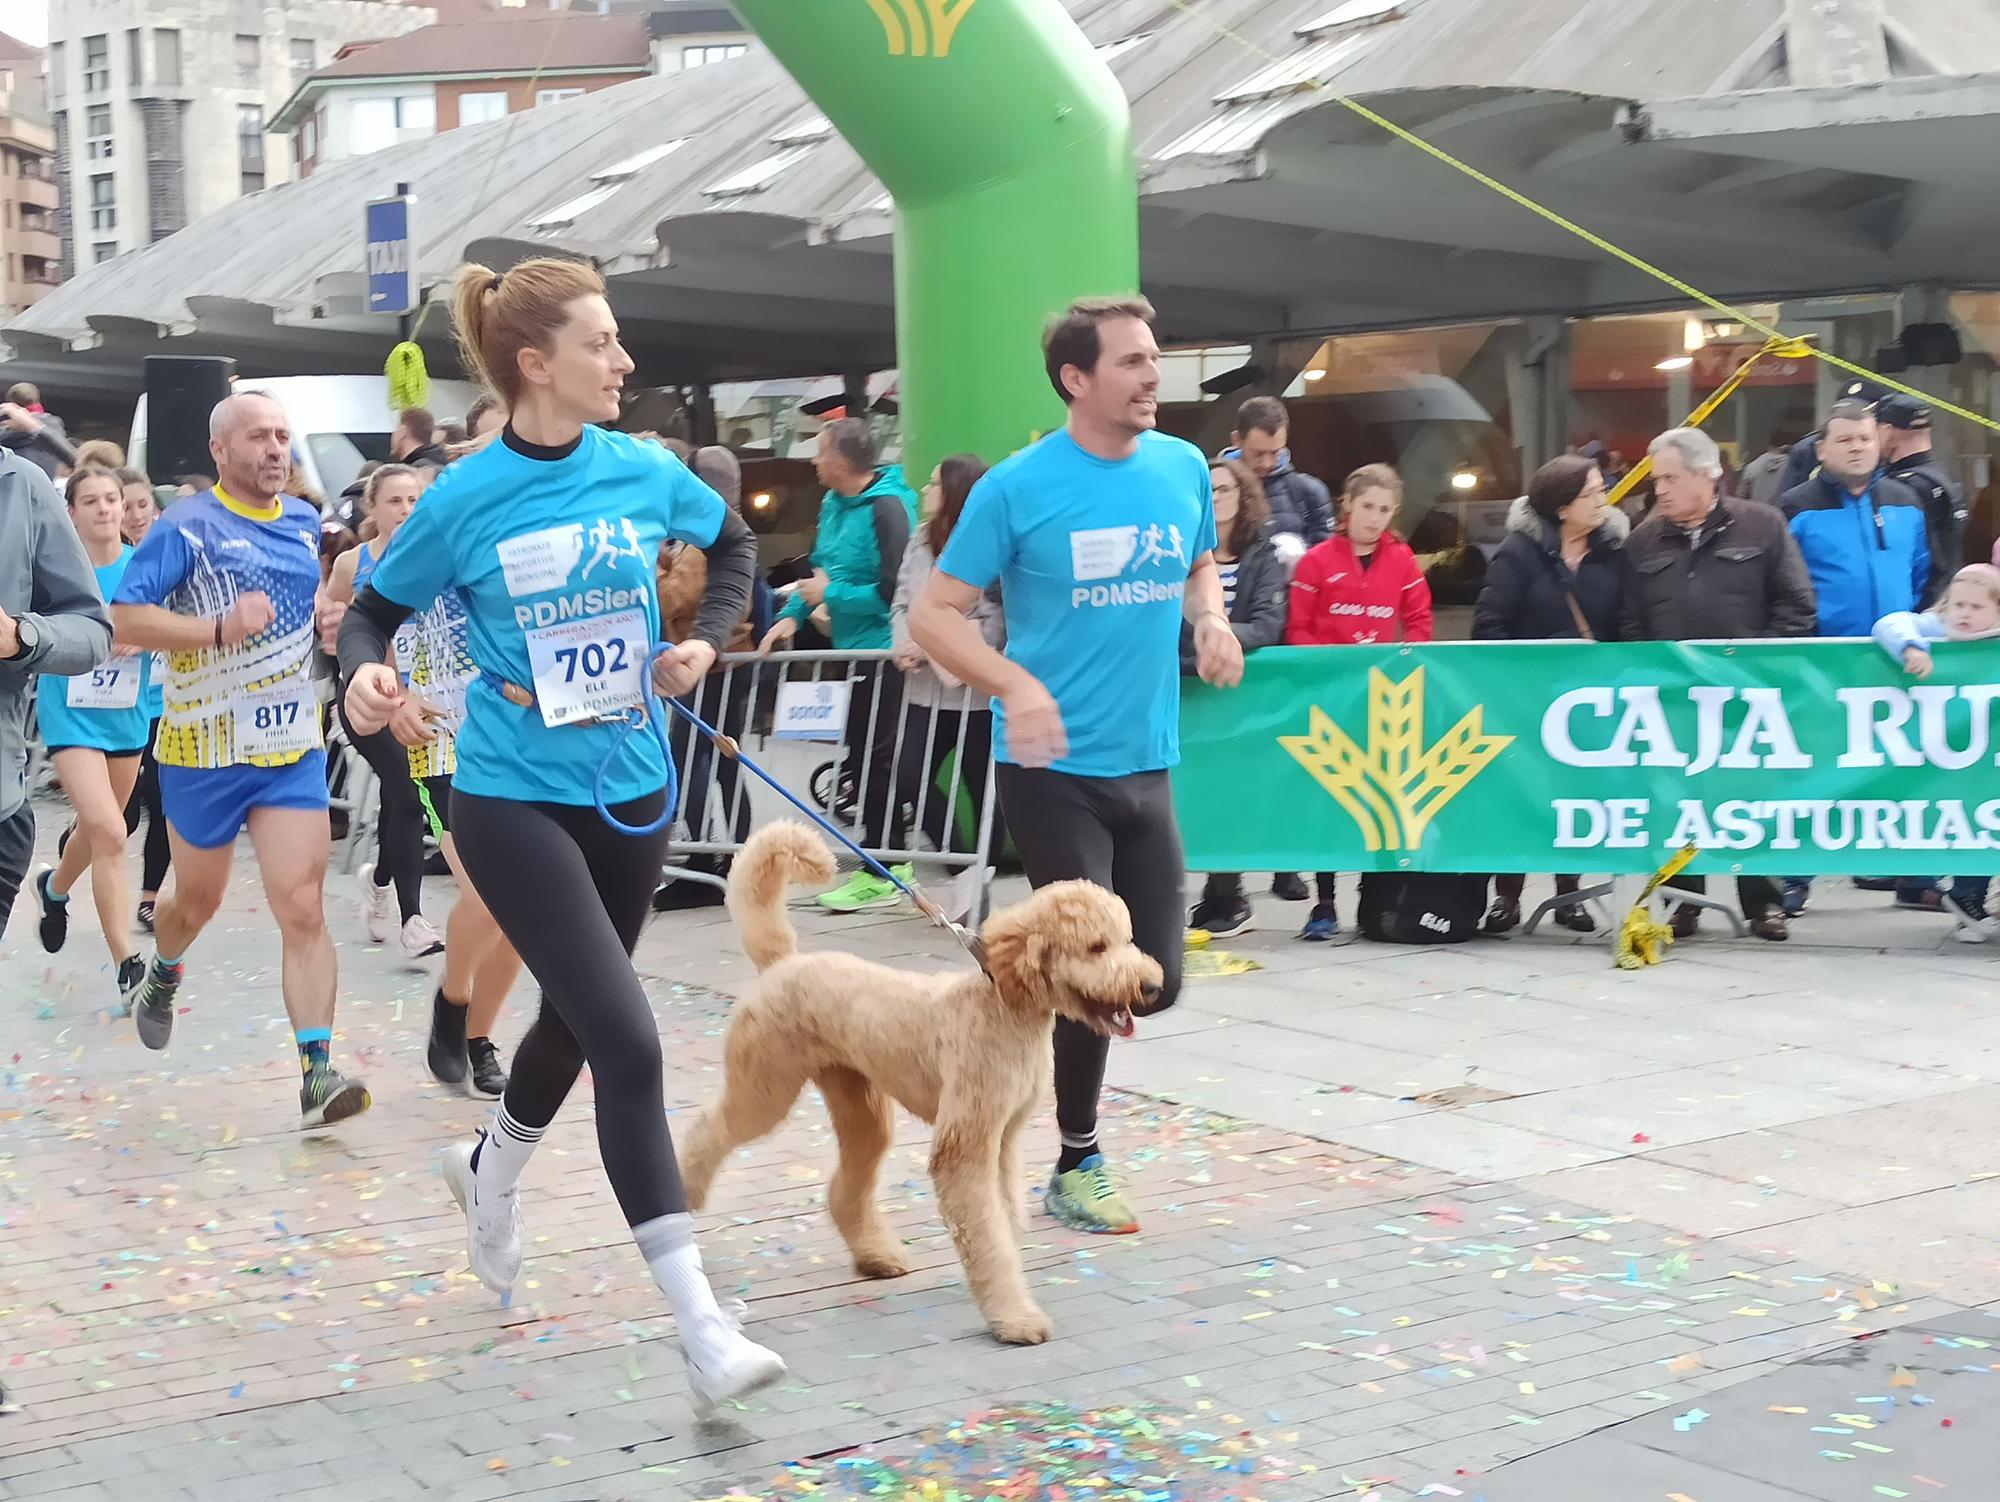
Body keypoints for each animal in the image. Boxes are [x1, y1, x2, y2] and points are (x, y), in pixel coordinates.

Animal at [680, 828, 1168, 1344]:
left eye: (1126, 939)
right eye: (1096, 947)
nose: (1152, 986)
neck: (1004, 1007)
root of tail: (782, 964)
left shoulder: (1003, 1137)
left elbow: (1002, 1217)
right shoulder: (965, 1143)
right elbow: (988, 1233)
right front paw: (1014, 1317)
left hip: (861, 1106)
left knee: (845, 1189)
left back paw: (876, 1255)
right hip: (765, 1087)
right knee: (709, 1129)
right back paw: (685, 1196)